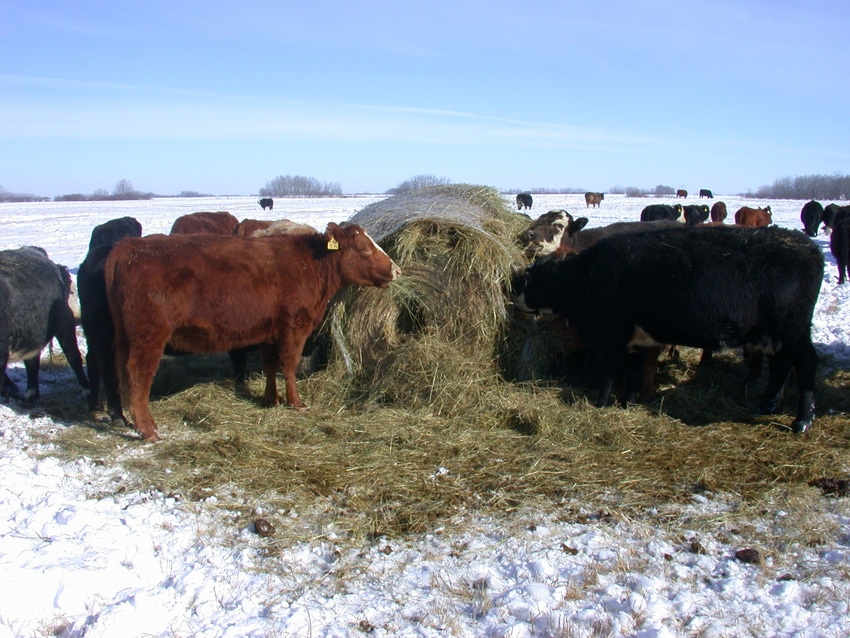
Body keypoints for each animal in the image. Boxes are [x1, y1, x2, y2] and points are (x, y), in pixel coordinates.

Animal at [77, 218, 142, 428]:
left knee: (92, 359)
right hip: (105, 333)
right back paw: (117, 414)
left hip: (93, 332)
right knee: (106, 366)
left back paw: (95, 403)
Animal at [105, 222, 400, 442]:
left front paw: (271, 399)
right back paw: (147, 429)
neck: (309, 264)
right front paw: (296, 402)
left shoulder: (268, 332)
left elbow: (270, 366)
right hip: (148, 337)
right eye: (364, 249)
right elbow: (289, 366)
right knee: (138, 377)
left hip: (124, 339)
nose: (396, 269)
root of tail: (129, 246)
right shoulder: (294, 327)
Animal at [512, 226, 824, 436]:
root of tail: (806, 245)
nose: (514, 289)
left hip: (793, 330)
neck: (590, 274)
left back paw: (802, 421)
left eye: (532, 277)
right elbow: (632, 373)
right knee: (781, 365)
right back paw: (766, 404)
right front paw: (626, 403)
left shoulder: (613, 336)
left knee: (807, 365)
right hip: (773, 334)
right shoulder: (637, 340)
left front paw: (601, 404)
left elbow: (610, 374)